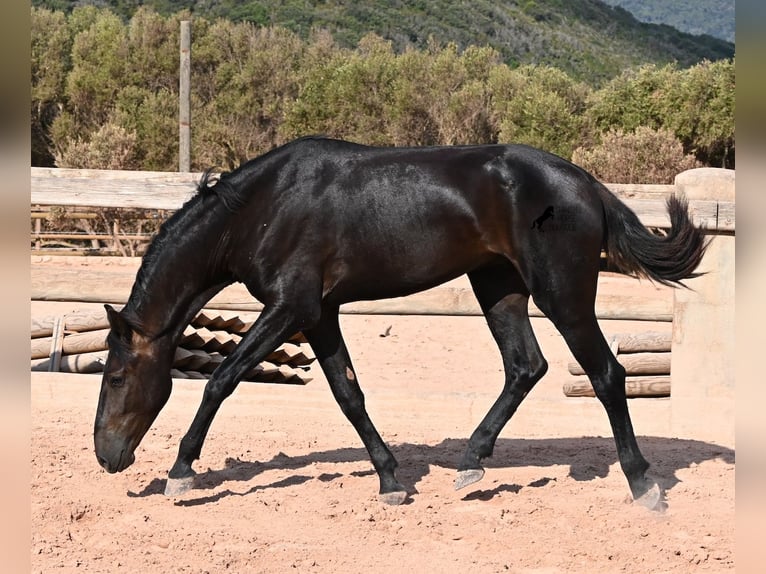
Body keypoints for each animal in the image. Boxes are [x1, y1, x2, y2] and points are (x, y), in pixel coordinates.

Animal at [94, 136, 706, 509]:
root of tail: (587, 184)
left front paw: (180, 472)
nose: (106, 456)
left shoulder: (289, 308)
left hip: (562, 293)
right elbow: (348, 395)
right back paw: (470, 463)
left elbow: (221, 380)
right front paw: (390, 480)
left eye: (117, 377)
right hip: (498, 286)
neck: (262, 208)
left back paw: (642, 484)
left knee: (606, 374)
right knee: (525, 367)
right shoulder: (319, 314)